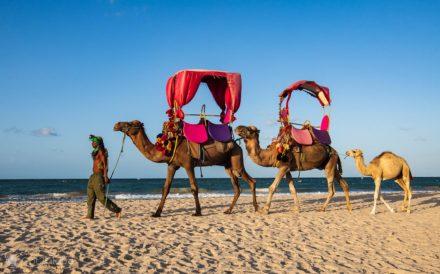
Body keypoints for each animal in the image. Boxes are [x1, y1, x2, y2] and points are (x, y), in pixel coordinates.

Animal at [113, 119, 260, 216]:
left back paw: (255, 207)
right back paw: (228, 210)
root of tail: (237, 144)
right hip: (228, 165)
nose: (116, 125)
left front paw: (197, 212)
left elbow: (194, 188)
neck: (169, 147)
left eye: (130, 124)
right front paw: (157, 213)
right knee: (237, 188)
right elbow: (165, 189)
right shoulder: (172, 165)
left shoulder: (188, 164)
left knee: (251, 181)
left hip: (236, 160)